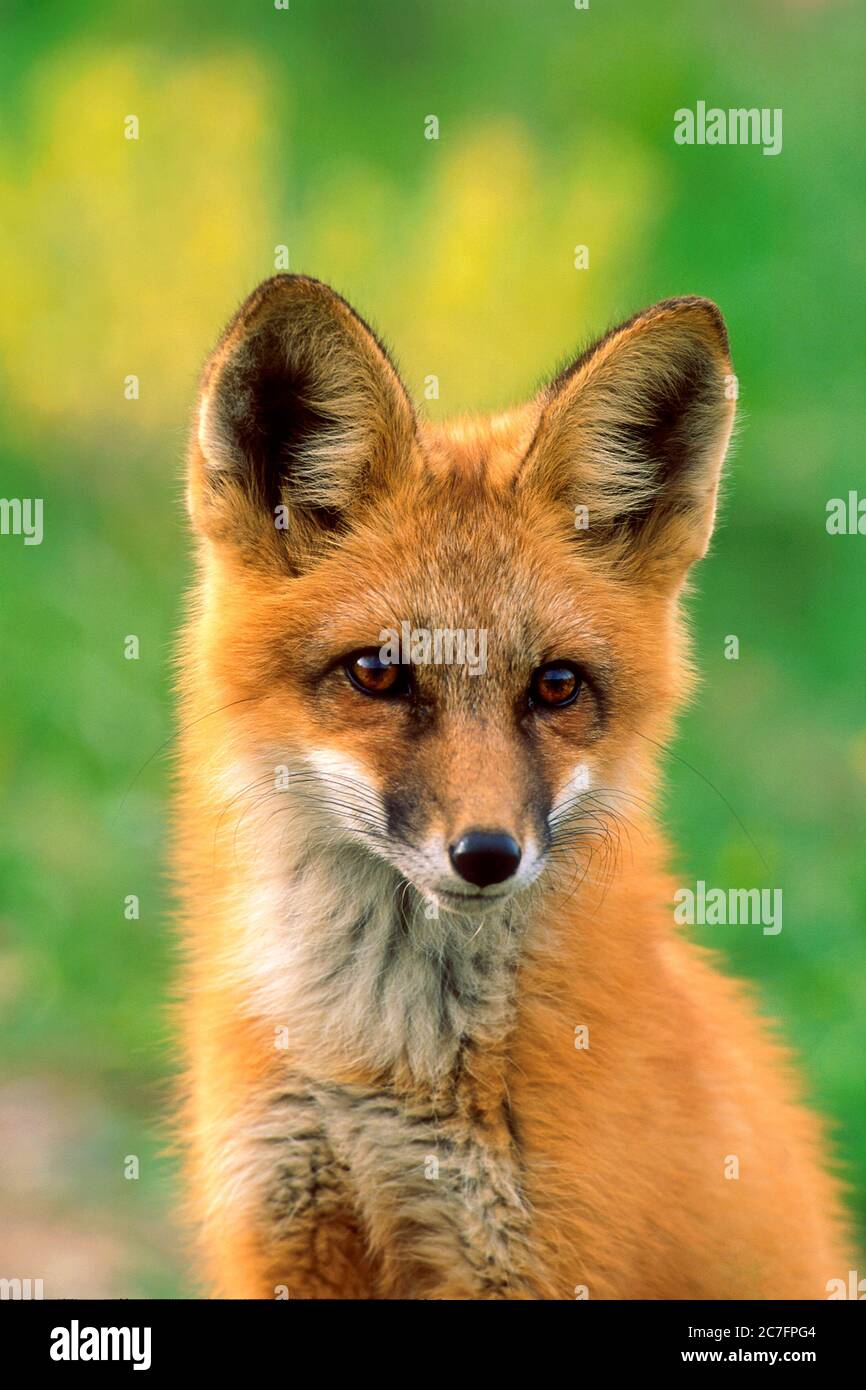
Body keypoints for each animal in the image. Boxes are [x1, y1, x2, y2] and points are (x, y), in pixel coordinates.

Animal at [174, 276, 845, 1295]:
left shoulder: (536, 1262)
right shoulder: (283, 1228)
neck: (375, 1067)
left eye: (557, 685)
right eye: (377, 673)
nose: (488, 854)